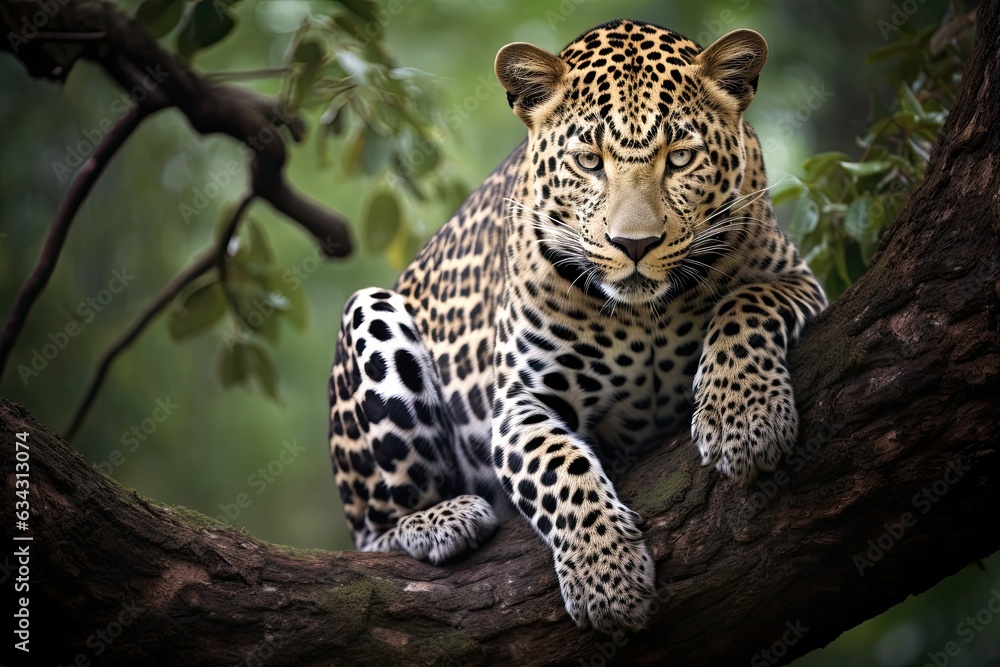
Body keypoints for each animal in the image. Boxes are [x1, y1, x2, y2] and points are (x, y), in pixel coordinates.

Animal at [328, 19, 827, 633]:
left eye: (681, 157)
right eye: (589, 161)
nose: (634, 244)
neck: (645, 317)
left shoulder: (796, 279)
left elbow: (744, 306)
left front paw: (746, 420)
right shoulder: (520, 404)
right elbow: (558, 469)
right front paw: (607, 579)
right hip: (369, 315)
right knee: (370, 533)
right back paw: (442, 519)